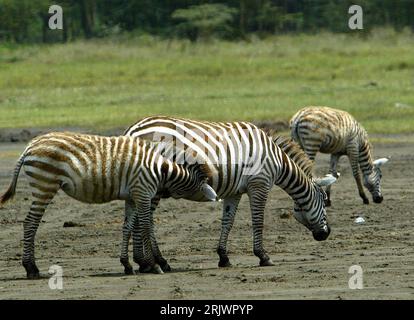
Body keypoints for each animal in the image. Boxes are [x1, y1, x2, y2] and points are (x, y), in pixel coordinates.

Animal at [0, 131, 218, 278]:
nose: (218, 195)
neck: (160, 167)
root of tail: (30, 145)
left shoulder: (132, 197)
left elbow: (127, 227)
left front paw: (127, 265)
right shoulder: (143, 192)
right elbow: (146, 227)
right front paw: (154, 265)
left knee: (30, 222)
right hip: (45, 185)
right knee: (30, 223)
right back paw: (31, 268)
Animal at [123, 116, 336, 268]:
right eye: (325, 201)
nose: (326, 234)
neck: (277, 159)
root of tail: (132, 129)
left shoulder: (234, 192)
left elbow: (228, 221)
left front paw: (223, 257)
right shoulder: (259, 184)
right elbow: (258, 221)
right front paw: (263, 256)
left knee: (137, 219)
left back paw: (143, 262)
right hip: (152, 182)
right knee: (145, 221)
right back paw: (155, 262)